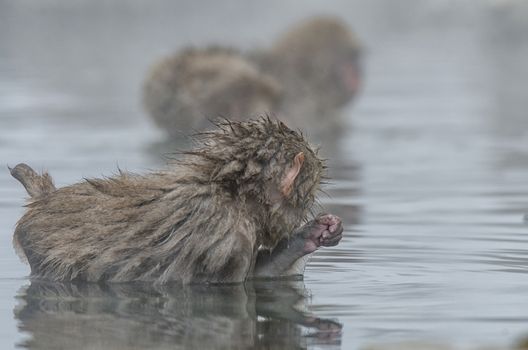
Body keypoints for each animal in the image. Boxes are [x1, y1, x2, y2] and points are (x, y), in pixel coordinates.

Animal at [12, 118, 344, 284]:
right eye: (309, 192)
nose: (301, 213)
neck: (230, 193)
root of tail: (42, 201)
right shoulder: (227, 238)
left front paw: (314, 233)